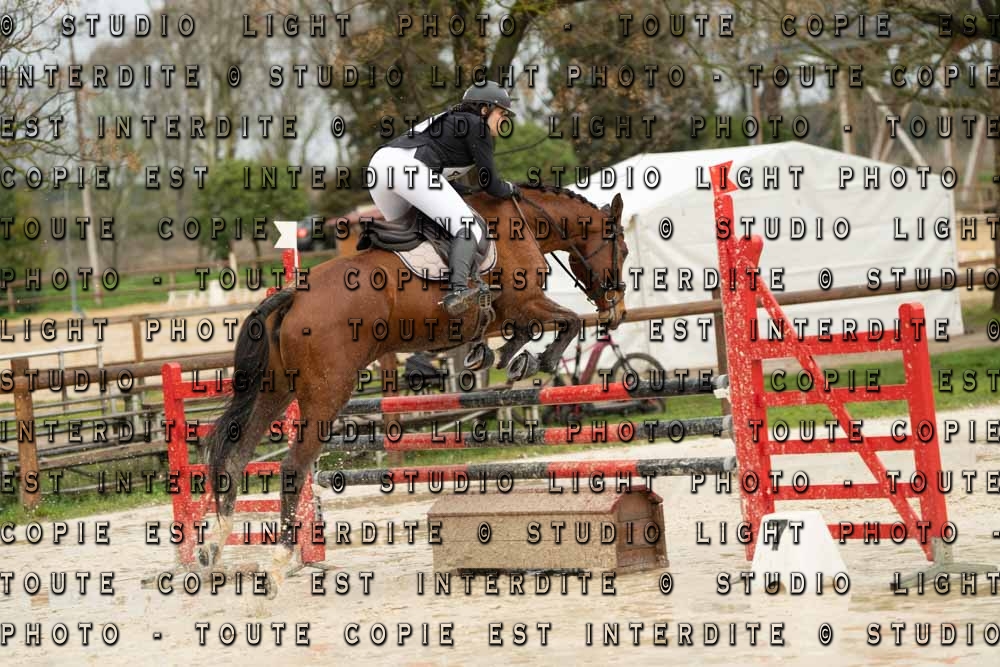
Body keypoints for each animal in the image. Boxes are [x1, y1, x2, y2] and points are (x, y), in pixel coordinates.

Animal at [203, 183, 629, 592]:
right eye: (623, 250)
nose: (618, 312)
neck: (525, 220)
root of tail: (293, 296)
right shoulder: (526, 302)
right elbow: (571, 320)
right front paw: (534, 361)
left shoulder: (511, 313)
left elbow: (527, 330)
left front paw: (501, 355)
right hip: (326, 392)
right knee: (293, 466)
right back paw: (277, 565)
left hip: (276, 389)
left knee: (238, 454)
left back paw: (213, 548)